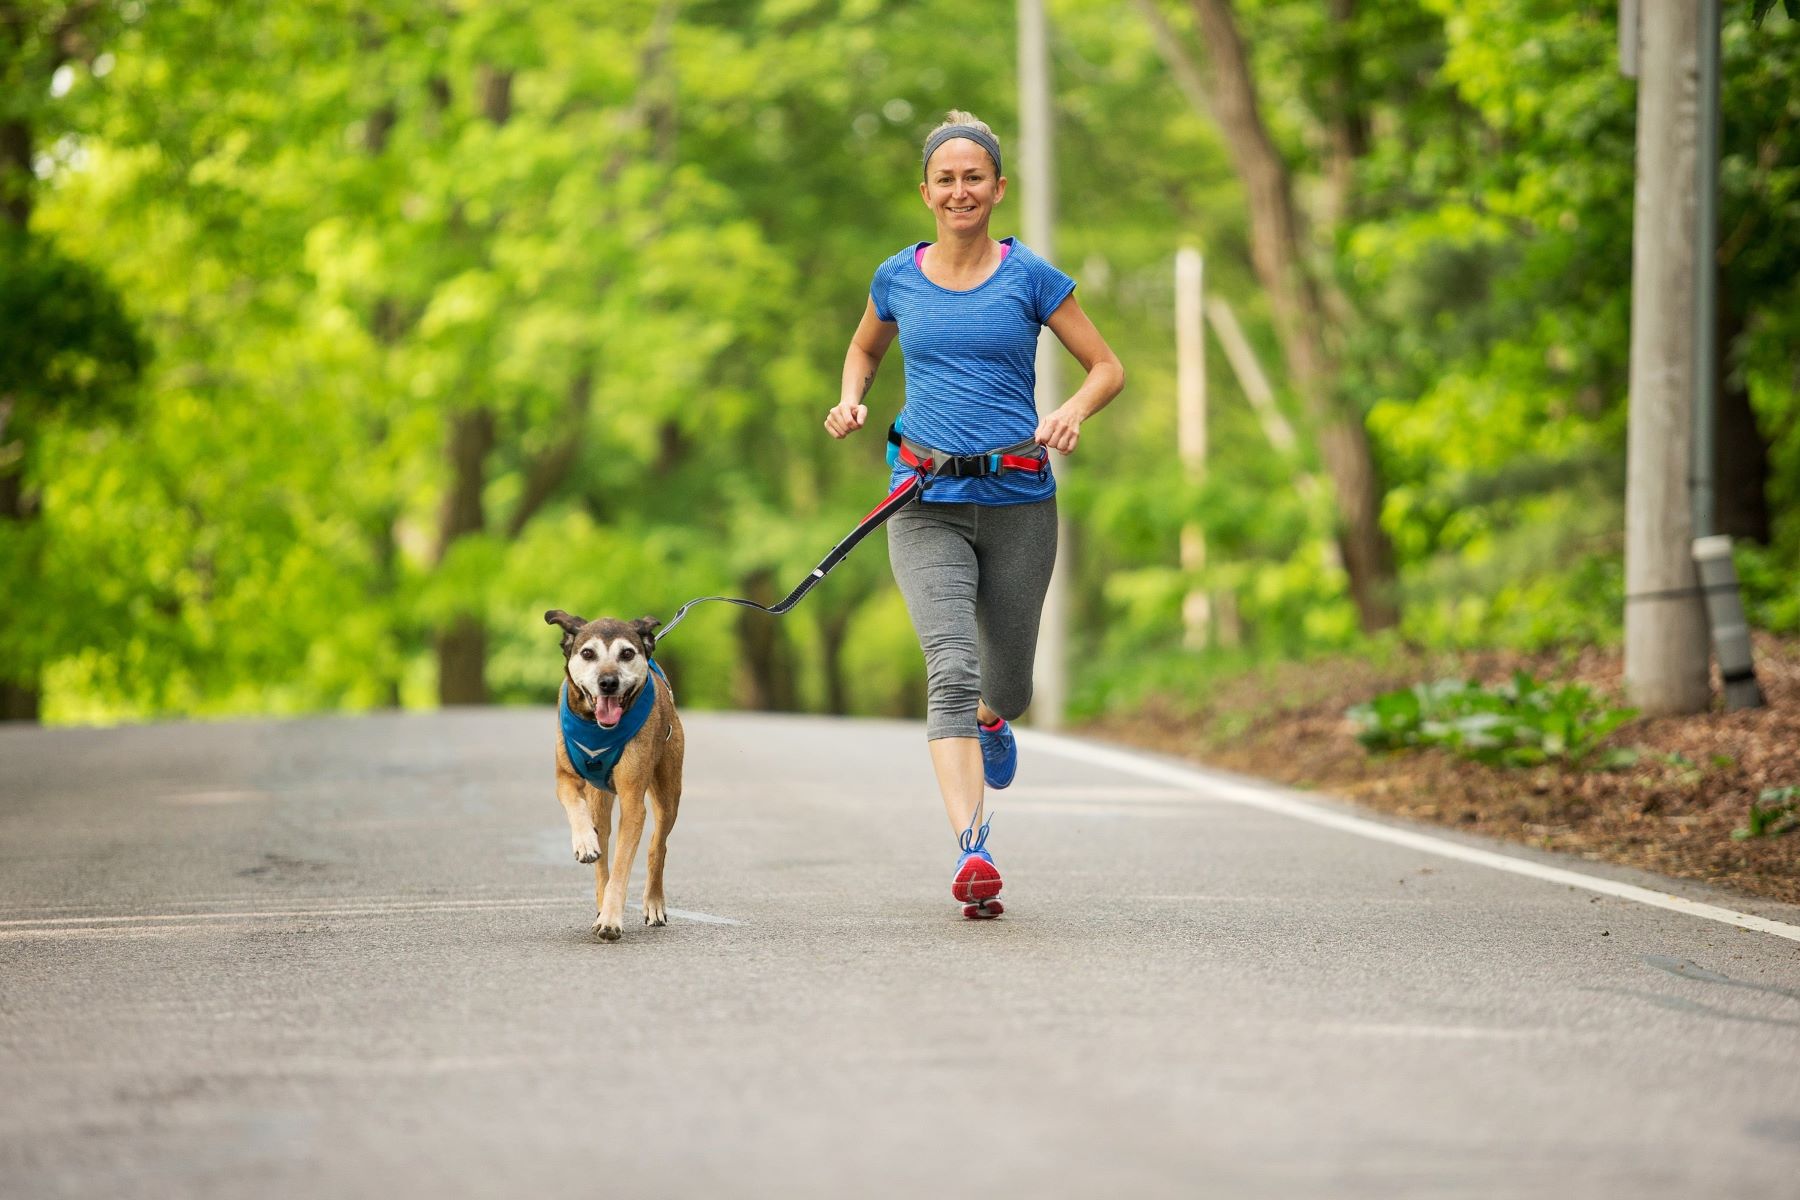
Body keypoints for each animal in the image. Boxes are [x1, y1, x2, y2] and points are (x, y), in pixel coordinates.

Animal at [540, 615, 680, 942]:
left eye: (626, 653)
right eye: (587, 653)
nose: (608, 683)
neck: (597, 727)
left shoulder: (632, 800)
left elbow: (621, 867)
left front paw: (611, 920)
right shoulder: (564, 778)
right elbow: (575, 805)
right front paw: (584, 843)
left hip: (669, 791)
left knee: (658, 846)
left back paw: (653, 903)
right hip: (600, 800)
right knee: (601, 842)